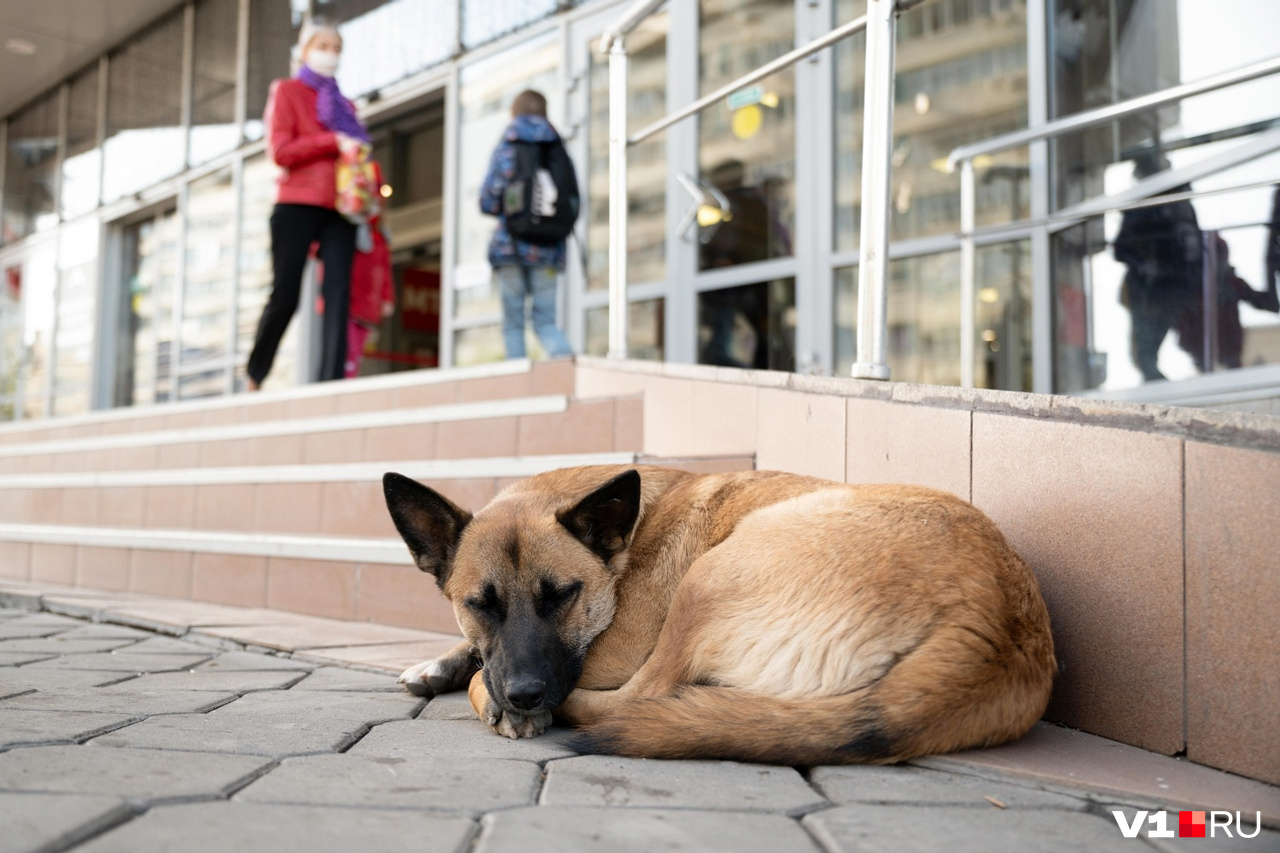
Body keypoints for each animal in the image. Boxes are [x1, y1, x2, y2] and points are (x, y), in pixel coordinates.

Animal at [384, 466, 1054, 763]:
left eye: (562, 596)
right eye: (480, 604)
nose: (525, 694)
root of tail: (998, 618)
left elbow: (490, 672)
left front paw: (487, 695)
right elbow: (474, 651)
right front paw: (436, 666)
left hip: (708, 579)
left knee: (642, 698)